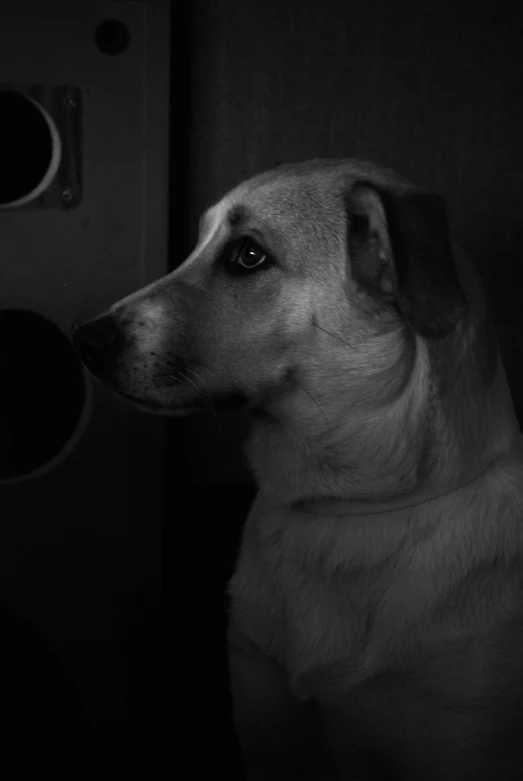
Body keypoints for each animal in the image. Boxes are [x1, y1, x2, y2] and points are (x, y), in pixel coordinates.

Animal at [74, 160, 523, 780]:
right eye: (196, 244)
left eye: (248, 255)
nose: (82, 340)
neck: (341, 508)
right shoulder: (267, 725)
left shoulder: (459, 738)